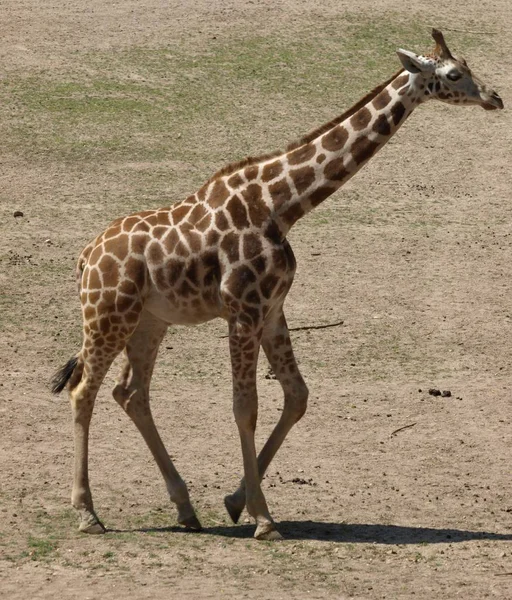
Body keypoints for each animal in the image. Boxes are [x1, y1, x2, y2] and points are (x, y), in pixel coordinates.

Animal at [52, 30, 504, 540]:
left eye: (467, 65)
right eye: (453, 74)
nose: (494, 97)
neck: (282, 205)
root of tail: (85, 258)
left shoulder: (272, 309)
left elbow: (297, 396)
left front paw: (235, 502)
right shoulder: (243, 309)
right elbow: (244, 406)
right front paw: (263, 519)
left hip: (150, 321)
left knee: (131, 393)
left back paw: (185, 509)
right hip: (108, 315)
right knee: (84, 390)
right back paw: (88, 513)